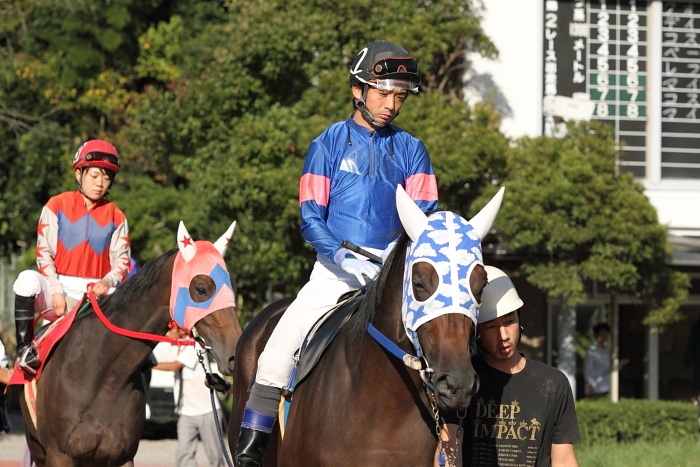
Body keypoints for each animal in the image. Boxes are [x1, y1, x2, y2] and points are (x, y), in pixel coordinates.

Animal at [20, 221, 243, 466]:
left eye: (233, 285)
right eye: (201, 288)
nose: (235, 354)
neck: (100, 376)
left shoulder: (123, 456)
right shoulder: (59, 455)